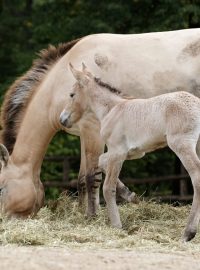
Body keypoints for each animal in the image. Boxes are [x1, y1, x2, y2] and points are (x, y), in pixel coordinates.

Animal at [0, 29, 200, 219]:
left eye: (1, 188)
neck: (60, 83)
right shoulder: (84, 134)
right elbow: (83, 178)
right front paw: (87, 211)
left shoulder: (93, 132)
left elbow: (92, 176)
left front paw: (93, 215)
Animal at [60, 63, 200, 243]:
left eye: (71, 94)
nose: (62, 119)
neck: (112, 110)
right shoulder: (133, 153)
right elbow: (101, 162)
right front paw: (130, 195)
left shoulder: (117, 152)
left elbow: (108, 187)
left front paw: (117, 225)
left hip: (182, 144)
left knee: (196, 177)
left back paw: (188, 233)